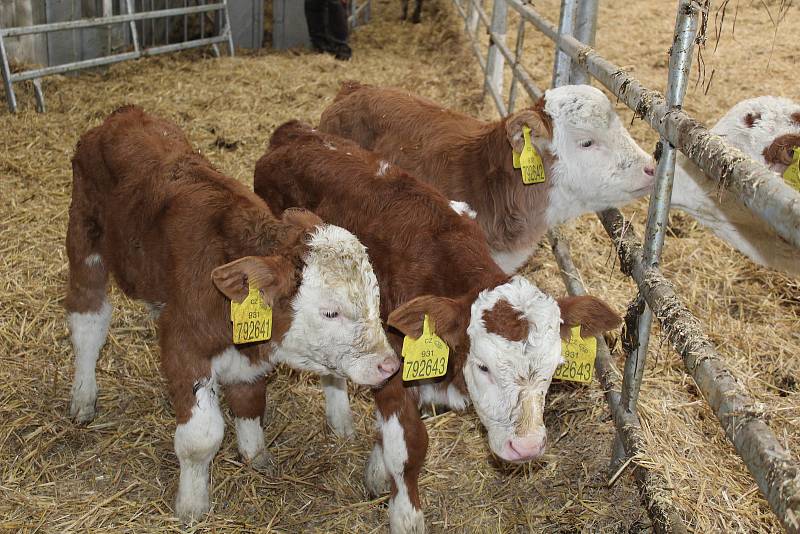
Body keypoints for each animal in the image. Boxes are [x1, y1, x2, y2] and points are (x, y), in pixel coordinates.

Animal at [65, 108, 396, 524]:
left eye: (375, 299)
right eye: (330, 312)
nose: (389, 365)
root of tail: (122, 115)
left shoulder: (249, 354)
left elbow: (250, 400)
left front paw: (256, 456)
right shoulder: (184, 346)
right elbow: (200, 438)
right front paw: (192, 506)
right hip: (84, 237)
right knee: (88, 321)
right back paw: (83, 395)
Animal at [253, 122, 620, 534]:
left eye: (554, 368)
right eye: (483, 367)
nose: (525, 448)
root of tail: (295, 132)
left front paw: (376, 470)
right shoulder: (391, 365)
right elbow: (407, 446)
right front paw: (404, 514)